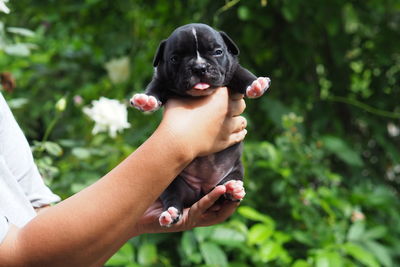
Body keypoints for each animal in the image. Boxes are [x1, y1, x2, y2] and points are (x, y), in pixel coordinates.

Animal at [130, 24, 270, 227]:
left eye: (218, 52)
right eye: (175, 59)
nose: (199, 67)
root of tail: (201, 191)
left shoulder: (233, 68)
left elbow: (242, 74)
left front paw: (256, 84)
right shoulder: (161, 78)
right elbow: (154, 87)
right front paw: (146, 100)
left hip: (235, 172)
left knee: (225, 191)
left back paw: (232, 189)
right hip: (171, 182)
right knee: (173, 196)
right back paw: (170, 213)